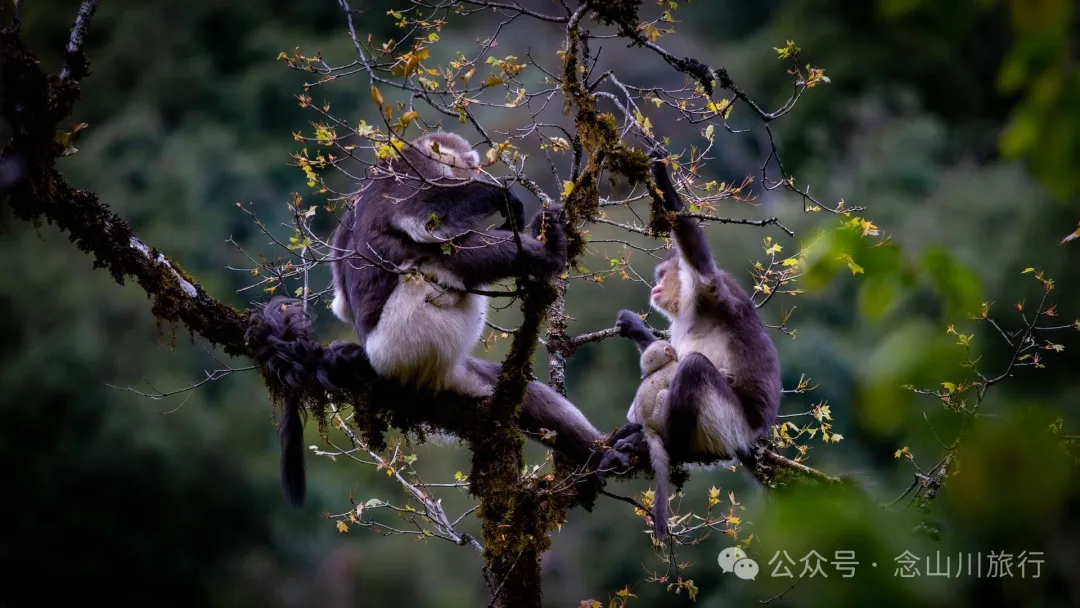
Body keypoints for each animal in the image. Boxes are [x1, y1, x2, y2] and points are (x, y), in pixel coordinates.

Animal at [247, 131, 643, 506]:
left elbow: (341, 301)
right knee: (441, 256)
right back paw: (549, 254)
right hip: (410, 342)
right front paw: (502, 196)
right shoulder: (412, 179)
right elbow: (423, 220)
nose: (478, 170)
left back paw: (603, 455)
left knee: (526, 396)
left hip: (451, 371)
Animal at [601, 144, 782, 491]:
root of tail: (754, 436)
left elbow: (700, 262)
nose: (656, 287)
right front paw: (635, 327)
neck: (688, 308)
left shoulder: (712, 295)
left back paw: (662, 445)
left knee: (694, 367)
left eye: (661, 276)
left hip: (727, 426)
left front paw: (660, 174)